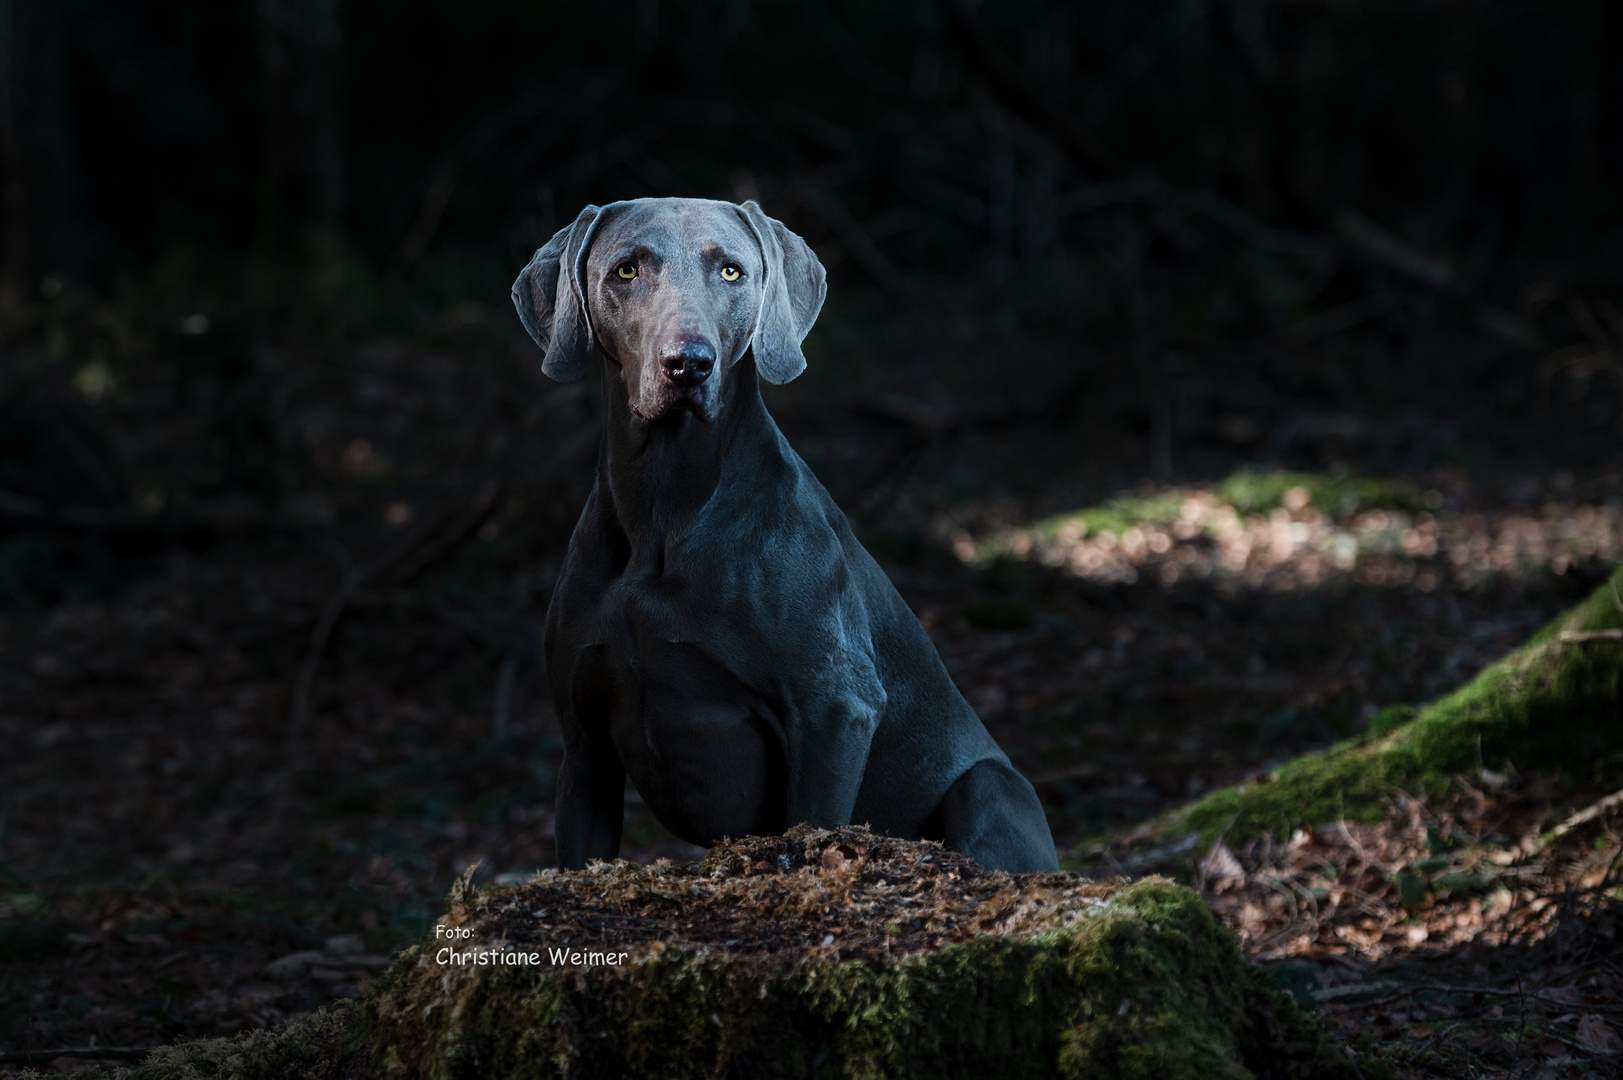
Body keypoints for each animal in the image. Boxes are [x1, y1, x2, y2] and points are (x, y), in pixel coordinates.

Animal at [512, 198, 1058, 870]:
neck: (665, 510)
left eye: (731, 271)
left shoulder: (834, 711)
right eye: (626, 270)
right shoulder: (583, 749)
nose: (689, 364)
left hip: (989, 787)